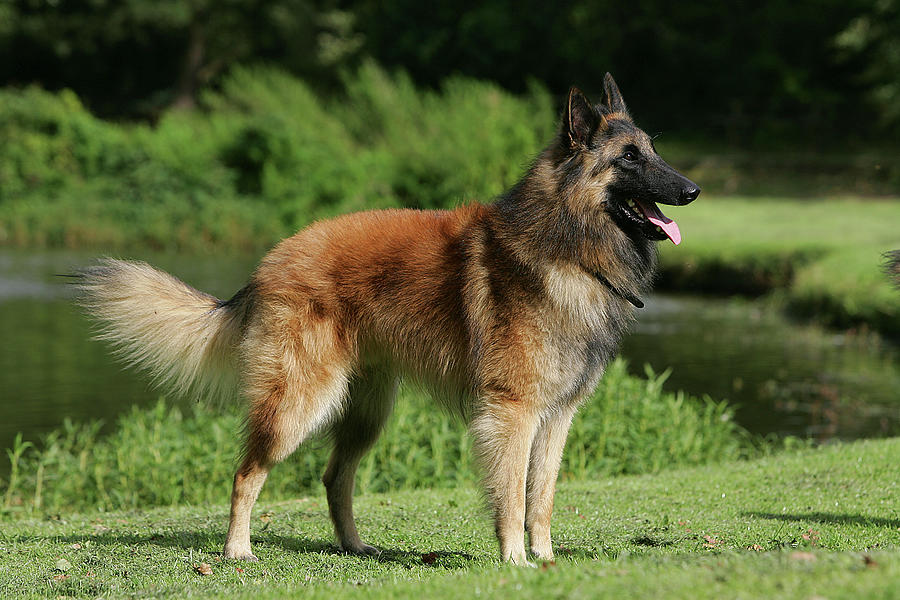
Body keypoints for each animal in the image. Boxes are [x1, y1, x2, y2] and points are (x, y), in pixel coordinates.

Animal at [79, 72, 696, 564]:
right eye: (629, 158)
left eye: (652, 150)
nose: (692, 190)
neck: (567, 245)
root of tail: (268, 264)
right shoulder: (512, 413)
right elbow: (512, 497)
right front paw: (516, 561)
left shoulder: (556, 416)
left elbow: (540, 498)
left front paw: (544, 558)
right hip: (299, 402)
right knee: (246, 473)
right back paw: (237, 550)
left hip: (367, 412)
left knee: (334, 477)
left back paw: (354, 547)